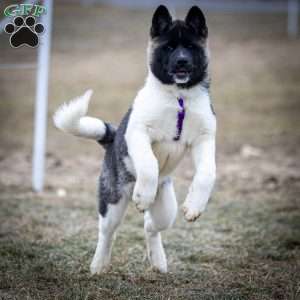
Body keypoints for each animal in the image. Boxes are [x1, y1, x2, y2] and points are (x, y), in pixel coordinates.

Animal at [54, 5, 216, 274]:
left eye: (191, 47)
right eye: (169, 47)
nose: (182, 61)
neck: (178, 98)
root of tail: (110, 140)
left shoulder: (204, 139)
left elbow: (207, 173)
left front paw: (194, 207)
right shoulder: (138, 132)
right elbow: (149, 164)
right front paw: (143, 195)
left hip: (166, 210)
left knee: (150, 226)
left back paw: (158, 261)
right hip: (113, 202)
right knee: (107, 232)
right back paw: (99, 265)